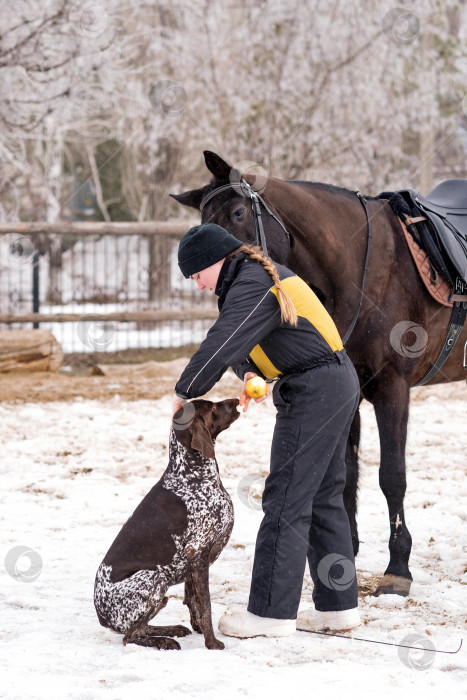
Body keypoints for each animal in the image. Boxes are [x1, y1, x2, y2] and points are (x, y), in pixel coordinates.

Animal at [93, 400, 239, 652]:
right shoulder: (198, 552)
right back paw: (164, 640)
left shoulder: (194, 560)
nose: (236, 401)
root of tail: (102, 616)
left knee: (141, 628)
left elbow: (194, 601)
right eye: (212, 407)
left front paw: (199, 630)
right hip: (154, 578)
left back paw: (171, 630)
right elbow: (206, 605)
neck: (190, 475)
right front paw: (211, 643)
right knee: (131, 635)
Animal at [172, 150, 467, 592]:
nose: (222, 283)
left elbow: (392, 475)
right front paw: (347, 553)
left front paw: (398, 567)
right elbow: (346, 472)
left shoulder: (393, 387)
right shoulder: (350, 391)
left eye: (238, 212)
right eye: (202, 219)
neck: (362, 268)